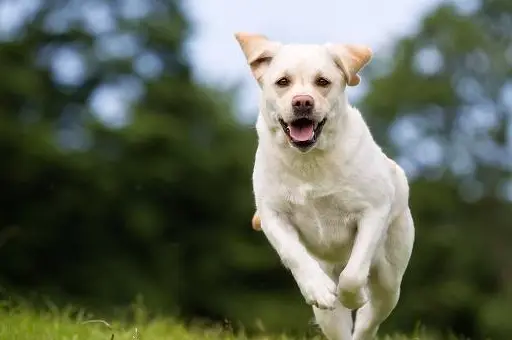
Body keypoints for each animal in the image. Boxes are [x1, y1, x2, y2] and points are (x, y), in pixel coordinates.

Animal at [236, 32, 416, 340]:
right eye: (282, 82)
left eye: (323, 81)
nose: (302, 102)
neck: (310, 162)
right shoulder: (274, 216)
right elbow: (294, 254)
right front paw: (318, 289)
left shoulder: (373, 210)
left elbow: (354, 275)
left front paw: (354, 296)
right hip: (329, 314)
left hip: (389, 281)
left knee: (368, 319)